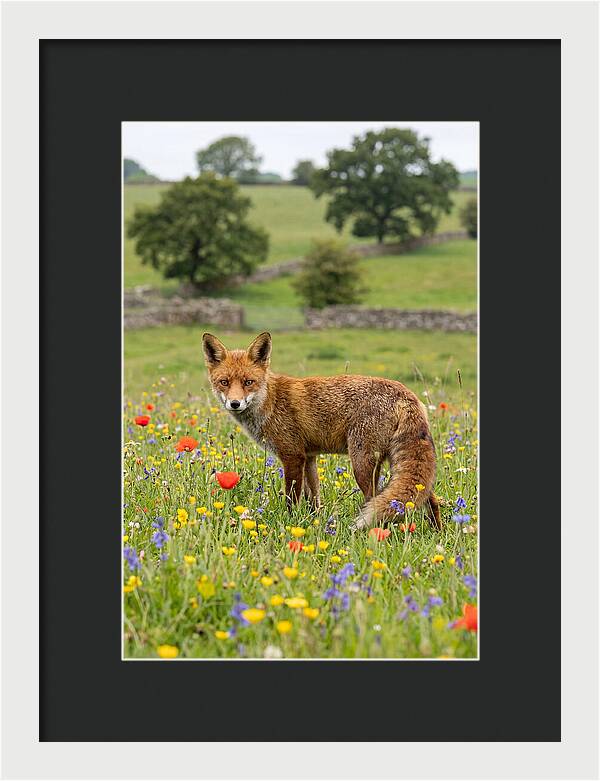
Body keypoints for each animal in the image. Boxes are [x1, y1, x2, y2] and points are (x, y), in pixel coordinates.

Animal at [202, 331, 441, 531]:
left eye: (248, 382)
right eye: (224, 382)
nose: (235, 403)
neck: (270, 401)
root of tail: (406, 393)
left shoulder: (292, 456)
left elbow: (292, 498)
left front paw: (289, 523)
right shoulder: (309, 457)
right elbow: (313, 498)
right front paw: (314, 522)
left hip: (362, 463)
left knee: (375, 499)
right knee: (430, 498)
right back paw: (436, 532)